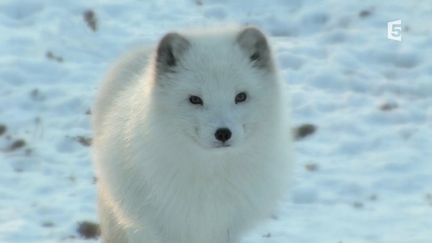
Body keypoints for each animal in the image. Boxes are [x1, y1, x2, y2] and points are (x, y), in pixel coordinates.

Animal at [92, 25, 292, 243]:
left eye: (240, 97)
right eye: (195, 99)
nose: (223, 133)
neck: (211, 175)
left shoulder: (223, 229)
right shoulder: (154, 229)